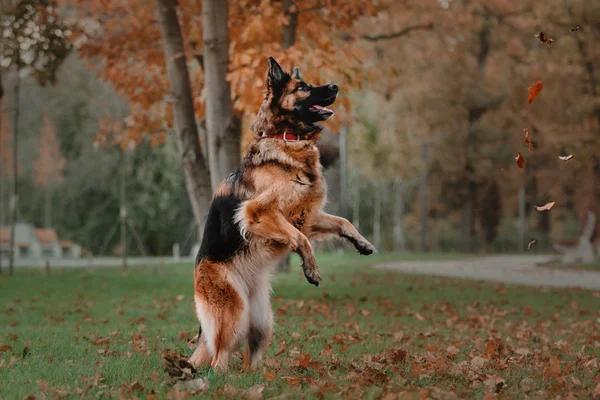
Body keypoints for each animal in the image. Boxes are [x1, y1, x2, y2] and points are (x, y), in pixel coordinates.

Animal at [190, 56, 376, 372]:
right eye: (302, 87)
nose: (335, 86)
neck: (287, 139)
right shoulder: (258, 212)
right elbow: (300, 238)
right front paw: (311, 268)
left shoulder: (307, 215)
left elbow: (342, 221)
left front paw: (362, 242)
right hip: (234, 314)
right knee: (218, 359)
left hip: (262, 321)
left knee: (249, 357)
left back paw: (257, 376)